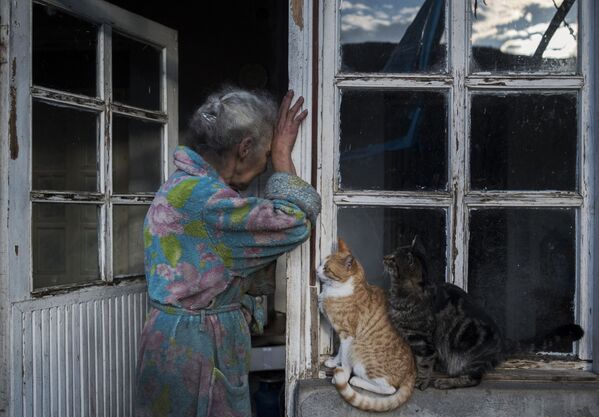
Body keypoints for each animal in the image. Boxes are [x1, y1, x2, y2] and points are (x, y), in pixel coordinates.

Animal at [318, 239, 418, 412]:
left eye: (326, 268)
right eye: (321, 263)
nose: (316, 270)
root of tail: (411, 372)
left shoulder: (348, 335)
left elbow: (345, 359)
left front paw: (342, 375)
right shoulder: (342, 334)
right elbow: (340, 352)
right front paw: (334, 362)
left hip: (359, 350)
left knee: (389, 388)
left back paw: (355, 380)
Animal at [384, 237, 584, 390]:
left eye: (393, 259)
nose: (385, 256)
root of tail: (503, 341)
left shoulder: (422, 341)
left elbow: (424, 364)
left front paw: (420, 382)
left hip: (470, 358)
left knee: (474, 379)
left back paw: (446, 382)